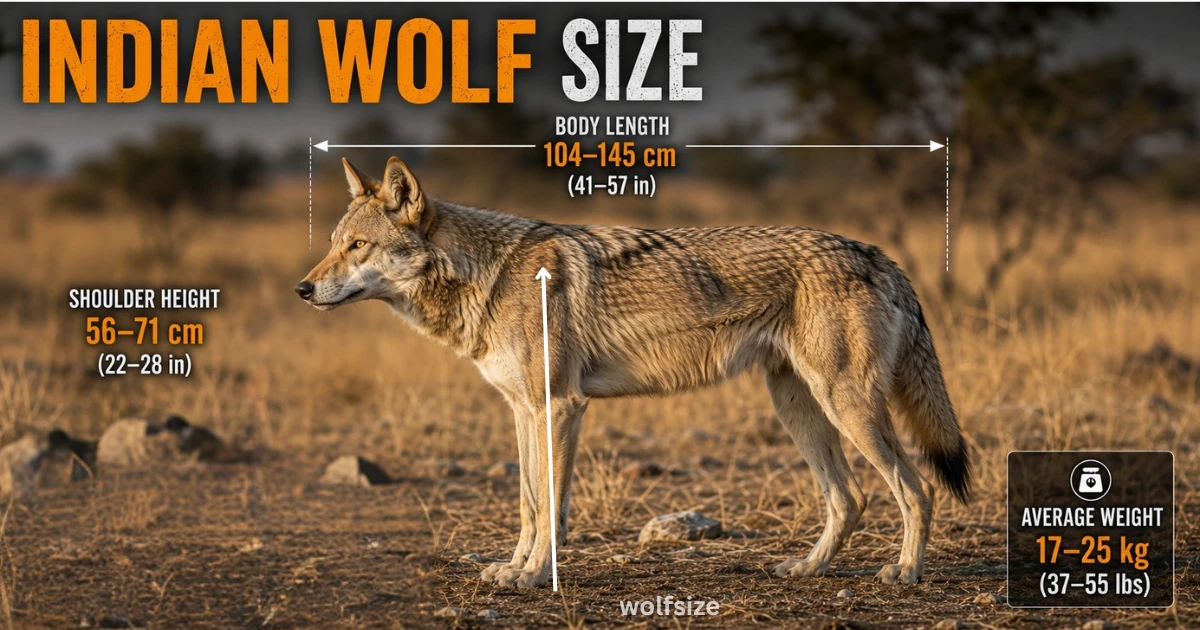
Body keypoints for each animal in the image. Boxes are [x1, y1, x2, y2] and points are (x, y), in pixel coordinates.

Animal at [297, 157, 970, 589]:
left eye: (357, 246)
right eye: (333, 242)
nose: (302, 289)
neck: (486, 276)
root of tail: (879, 254)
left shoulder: (561, 407)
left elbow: (553, 506)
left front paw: (536, 576)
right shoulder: (522, 409)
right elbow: (529, 503)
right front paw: (514, 569)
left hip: (845, 406)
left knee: (917, 488)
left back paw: (905, 573)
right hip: (798, 407)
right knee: (850, 497)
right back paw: (808, 569)